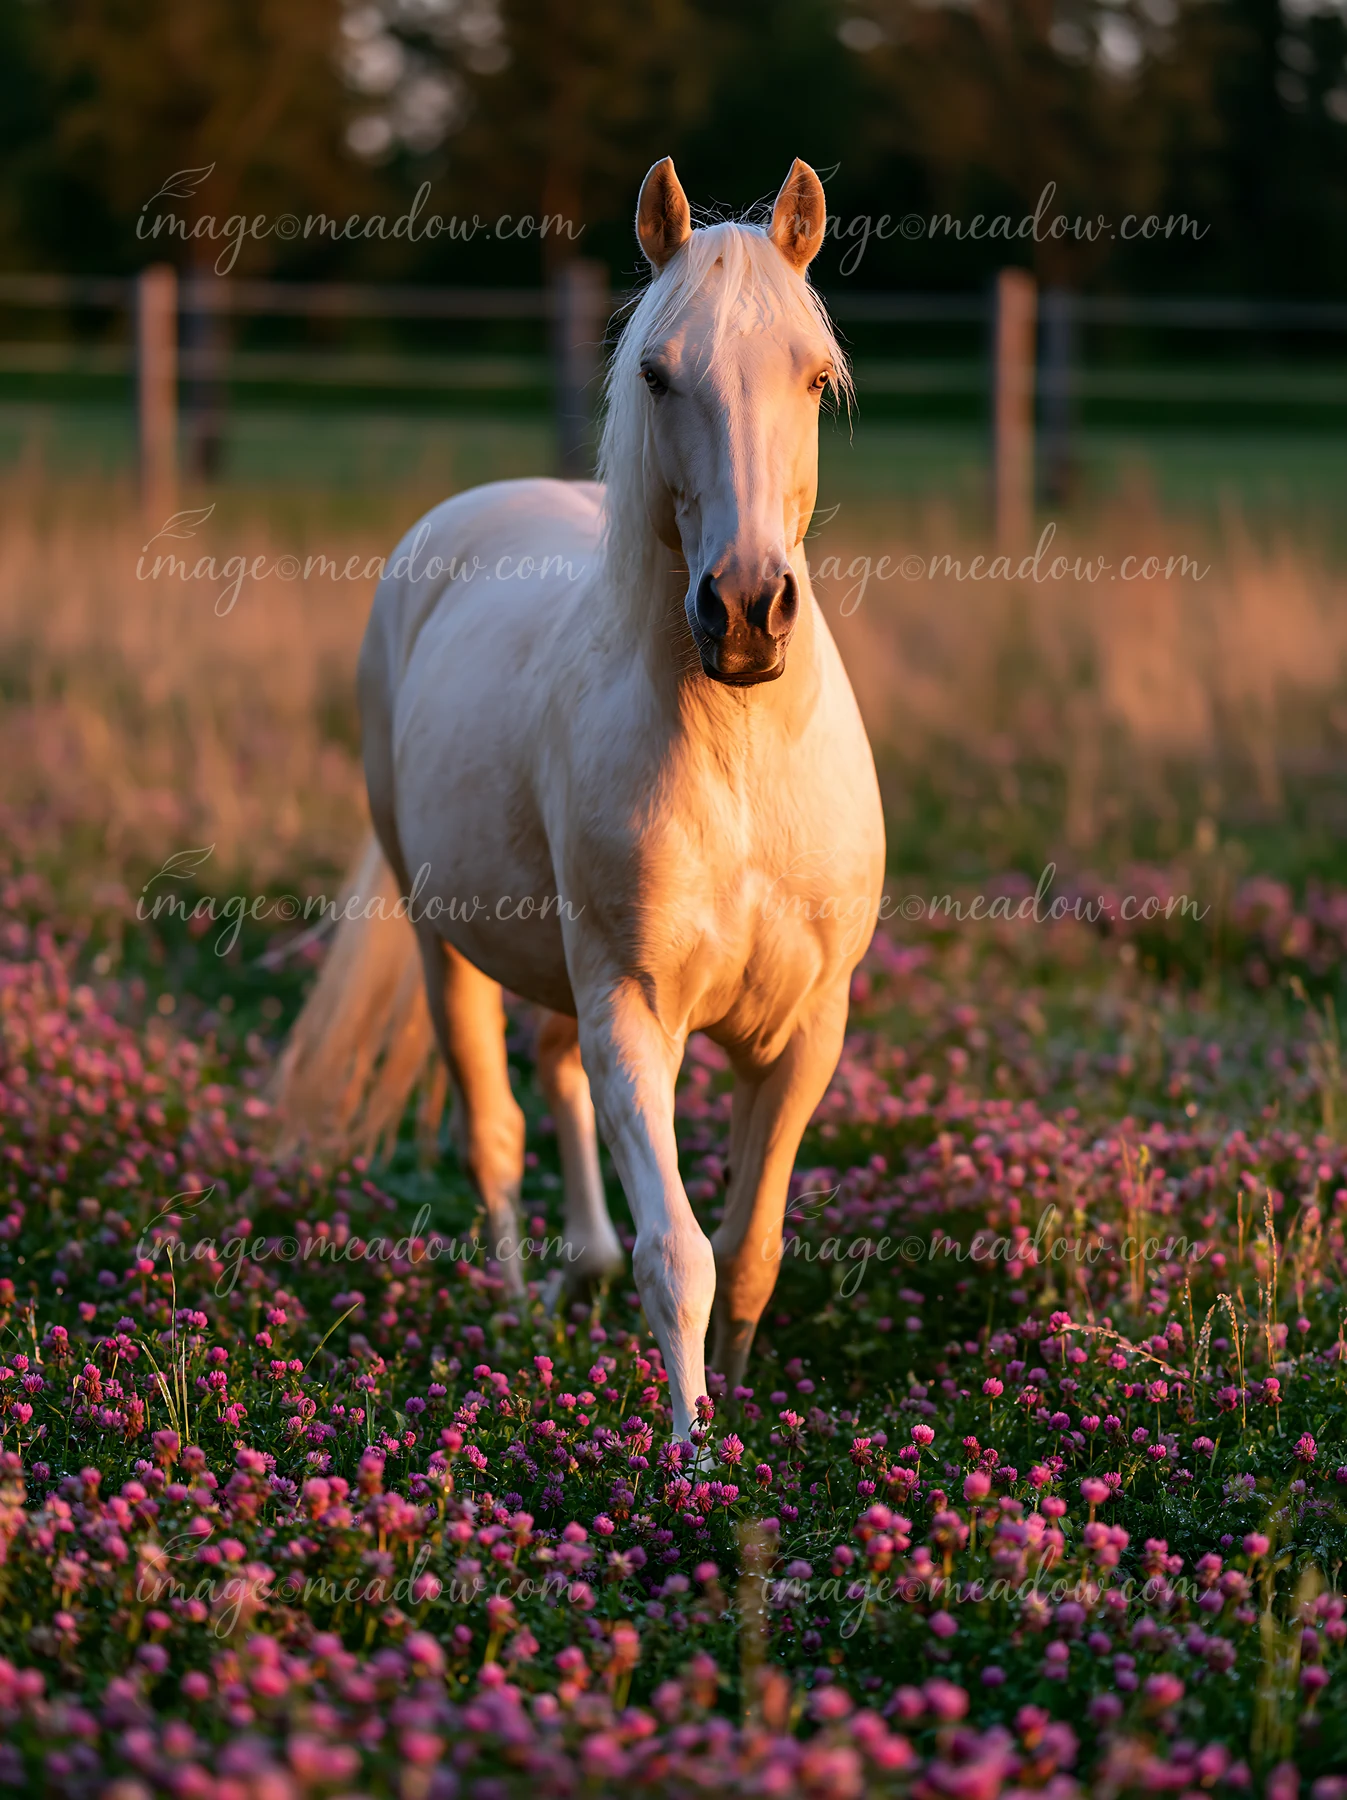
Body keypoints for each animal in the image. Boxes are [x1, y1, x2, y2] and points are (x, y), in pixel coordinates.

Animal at [275, 156, 885, 1442]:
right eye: (657, 373)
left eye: (814, 375)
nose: (745, 613)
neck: (740, 763)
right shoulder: (636, 1015)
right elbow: (682, 1256)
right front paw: (696, 1457)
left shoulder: (805, 1033)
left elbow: (751, 1251)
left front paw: (741, 1404)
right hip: (442, 941)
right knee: (495, 1129)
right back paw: (514, 1310)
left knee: (551, 1077)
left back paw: (577, 1272)